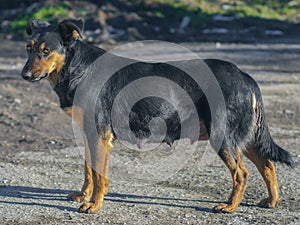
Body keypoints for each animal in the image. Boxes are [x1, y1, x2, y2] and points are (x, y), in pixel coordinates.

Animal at [20, 18, 292, 214]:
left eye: (46, 51)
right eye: (29, 48)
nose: (24, 75)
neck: (79, 68)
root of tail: (244, 75)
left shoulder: (99, 136)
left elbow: (99, 175)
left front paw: (94, 205)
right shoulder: (88, 133)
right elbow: (89, 170)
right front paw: (84, 195)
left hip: (223, 137)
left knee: (242, 174)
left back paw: (230, 206)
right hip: (242, 137)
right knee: (267, 165)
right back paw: (272, 200)